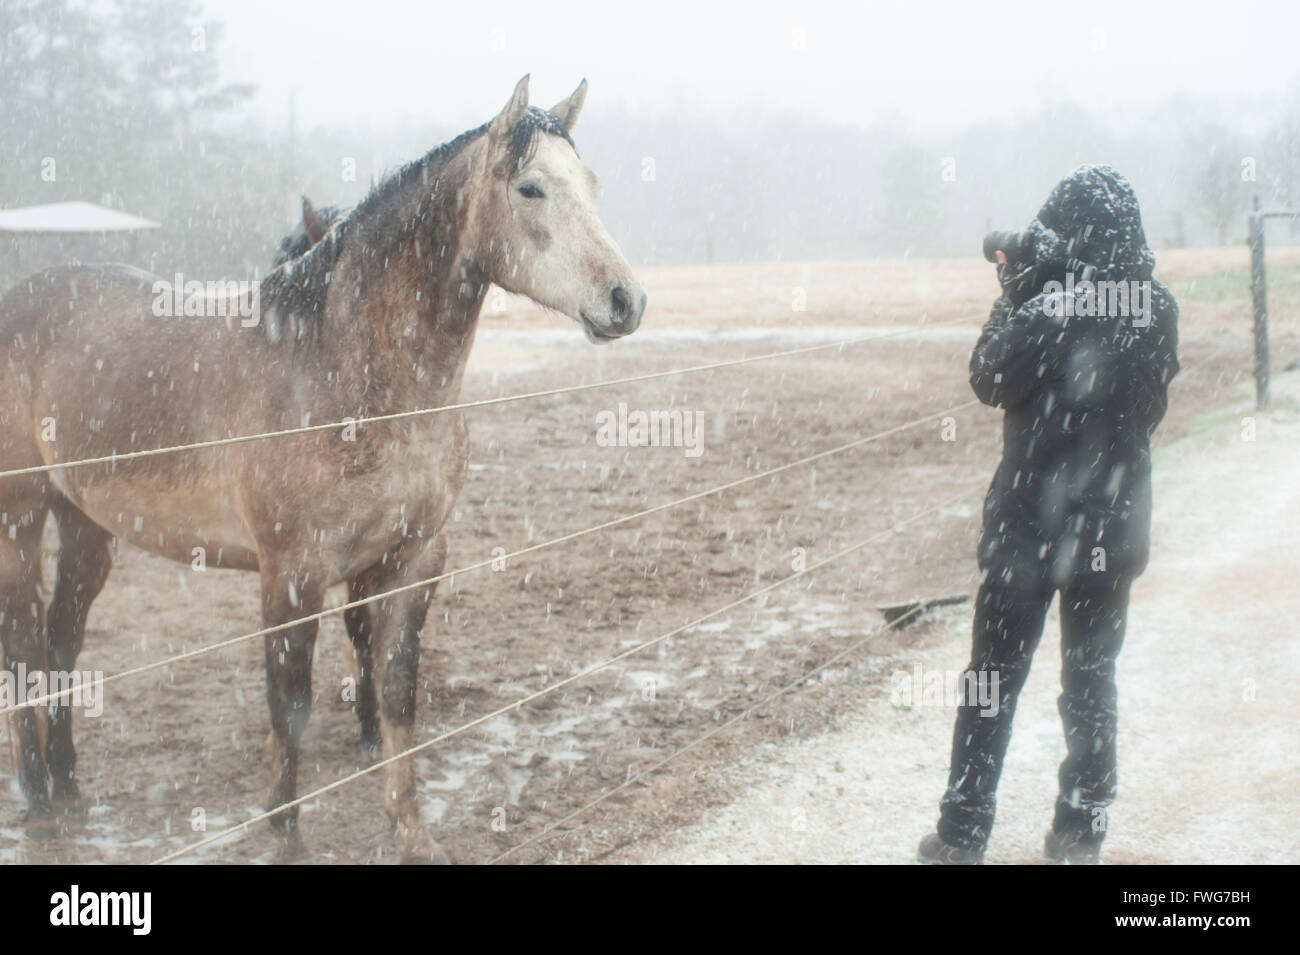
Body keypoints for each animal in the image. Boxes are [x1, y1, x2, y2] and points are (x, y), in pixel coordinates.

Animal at [0, 75, 646, 863]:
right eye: (530, 187)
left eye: (591, 183)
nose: (626, 300)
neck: (339, 364)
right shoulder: (292, 572)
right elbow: (291, 705)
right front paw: (284, 833)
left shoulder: (413, 557)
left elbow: (397, 687)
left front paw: (412, 830)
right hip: (21, 518)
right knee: (24, 642)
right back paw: (38, 803)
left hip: (86, 524)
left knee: (61, 637)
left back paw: (68, 788)